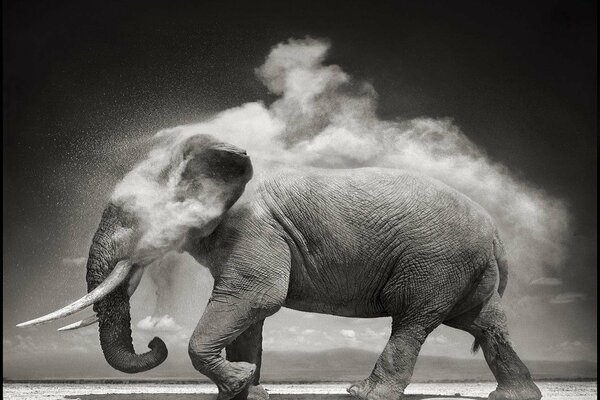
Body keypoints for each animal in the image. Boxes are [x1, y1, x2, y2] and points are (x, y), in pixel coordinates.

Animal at [18, 134, 544, 400]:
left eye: (129, 217)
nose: (154, 342)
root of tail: (496, 233)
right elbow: (249, 314)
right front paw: (244, 390)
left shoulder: (255, 229)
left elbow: (255, 296)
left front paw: (236, 384)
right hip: (465, 268)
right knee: (483, 322)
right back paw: (515, 397)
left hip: (435, 260)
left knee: (414, 319)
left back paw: (363, 393)